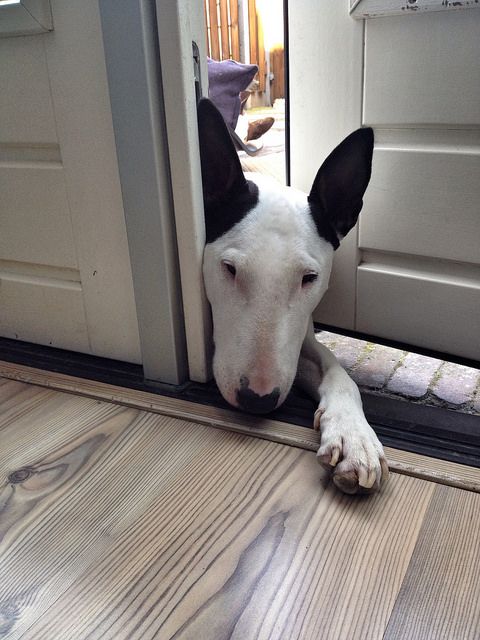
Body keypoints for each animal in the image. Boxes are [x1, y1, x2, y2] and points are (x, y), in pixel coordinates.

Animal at [197, 97, 388, 492]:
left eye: (309, 278)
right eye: (230, 269)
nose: (257, 400)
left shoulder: (301, 338)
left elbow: (337, 370)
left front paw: (354, 437)